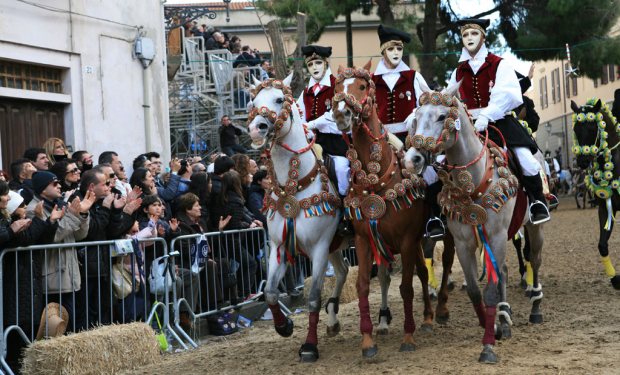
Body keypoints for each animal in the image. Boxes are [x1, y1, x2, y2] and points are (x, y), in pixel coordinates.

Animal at [249, 75, 352, 362]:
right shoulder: (280, 247)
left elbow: (314, 297)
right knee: (343, 271)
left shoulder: (319, 248)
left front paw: (309, 346)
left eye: (279, 99)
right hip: (336, 246)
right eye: (253, 102)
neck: (294, 187)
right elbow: (270, 292)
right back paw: (333, 320)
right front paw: (284, 326)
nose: (257, 129)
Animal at [332, 62, 448, 358]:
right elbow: (362, 285)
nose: (341, 113)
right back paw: (426, 318)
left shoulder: (405, 240)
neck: (377, 179)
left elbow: (406, 287)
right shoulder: (364, 240)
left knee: (433, 266)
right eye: (337, 87)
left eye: (362, 86)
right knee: (422, 271)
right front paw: (367, 341)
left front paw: (407, 337)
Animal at [404, 83, 544, 364]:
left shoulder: (498, 235)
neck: (473, 182)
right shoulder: (464, 242)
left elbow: (489, 290)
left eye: (441, 116)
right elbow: (475, 292)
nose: (413, 159)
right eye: (417, 116)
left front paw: (488, 346)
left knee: (534, 259)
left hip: (533, 227)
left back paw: (535, 307)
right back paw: (504, 318)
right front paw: (494, 328)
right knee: (503, 272)